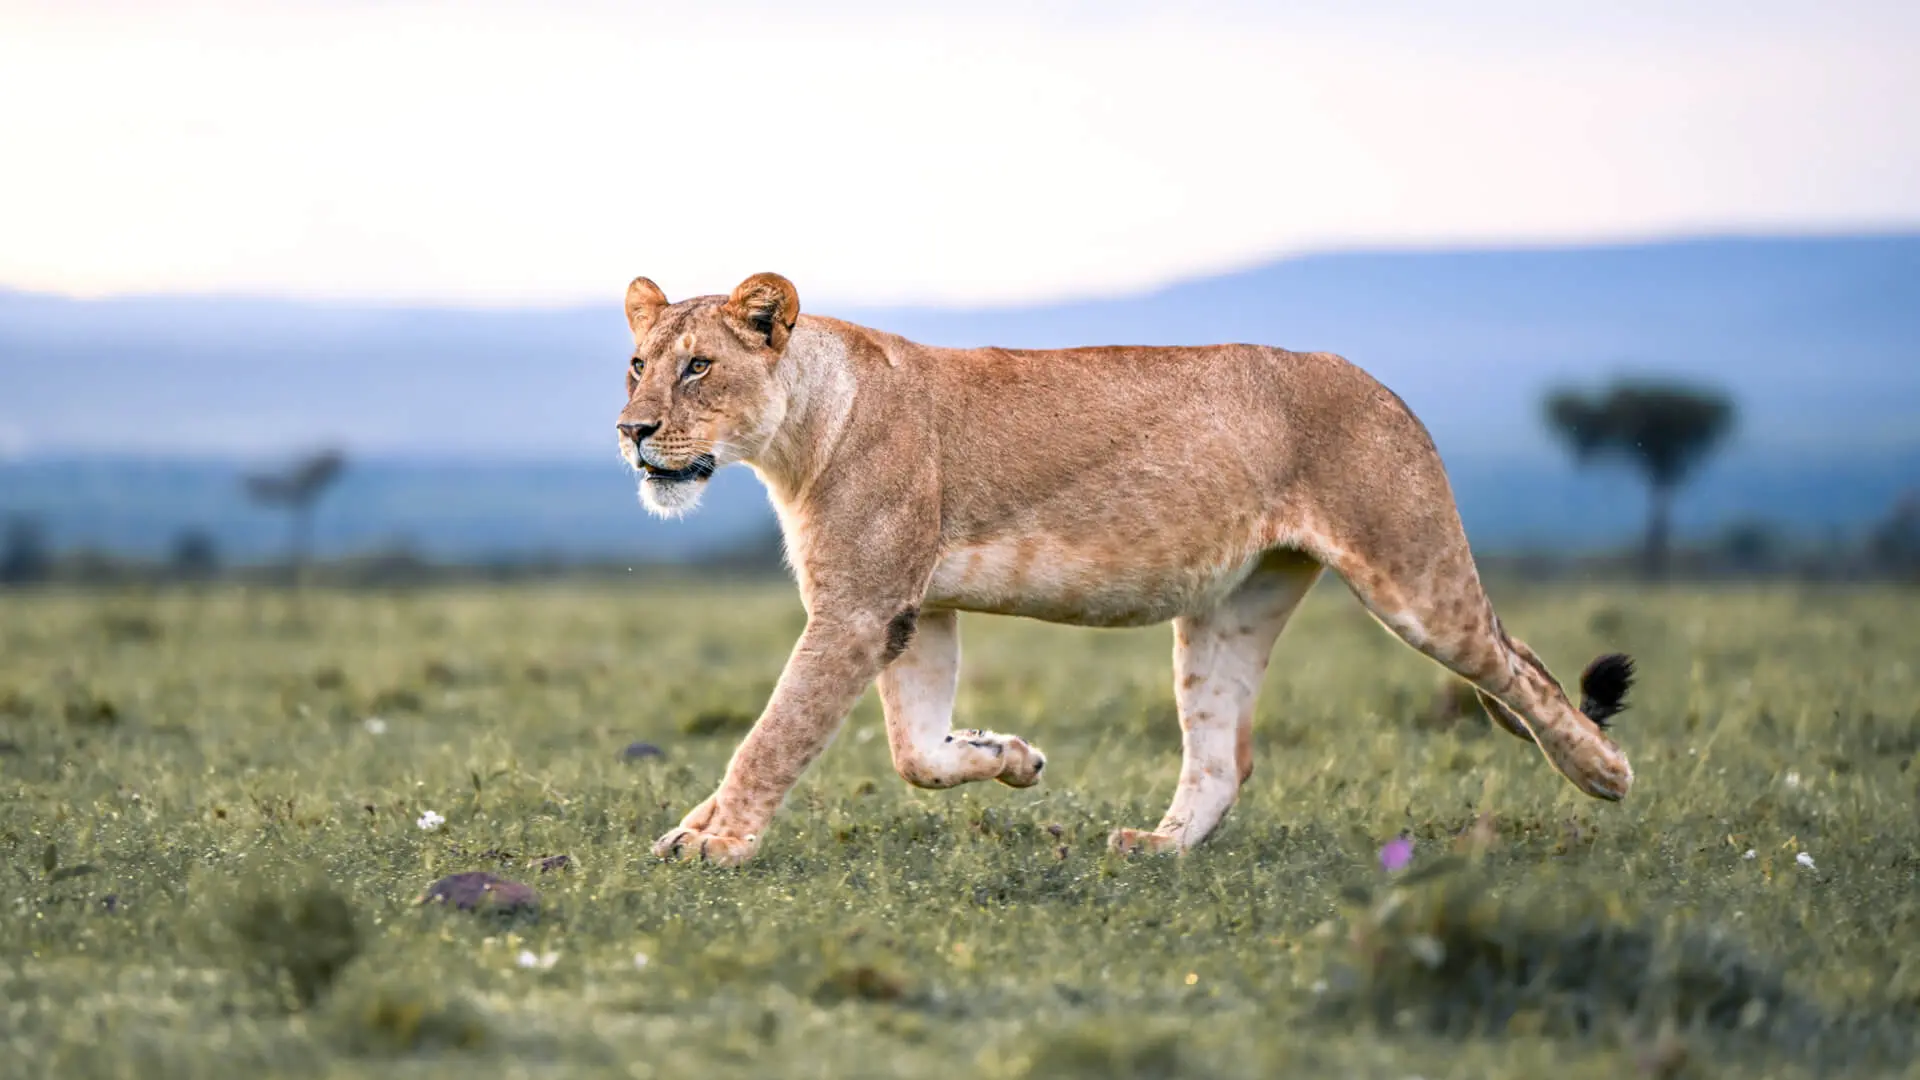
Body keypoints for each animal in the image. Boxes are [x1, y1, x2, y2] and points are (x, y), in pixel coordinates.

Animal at [616, 272, 1635, 866]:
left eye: (698, 367)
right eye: (636, 363)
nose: (630, 431)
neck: (795, 435)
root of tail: (1383, 387)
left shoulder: (861, 608)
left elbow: (774, 735)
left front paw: (717, 843)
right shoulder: (913, 610)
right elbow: (915, 751)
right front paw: (1008, 757)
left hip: (1413, 573)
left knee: (1523, 668)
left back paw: (1604, 772)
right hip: (1229, 607)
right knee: (1224, 755)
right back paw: (1158, 847)